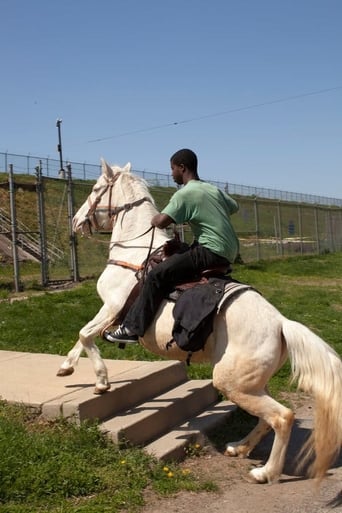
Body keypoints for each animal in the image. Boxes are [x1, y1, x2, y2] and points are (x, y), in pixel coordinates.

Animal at [57, 160, 342, 484]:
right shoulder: (108, 311)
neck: (136, 249)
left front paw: (102, 381)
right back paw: (239, 447)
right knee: (267, 417)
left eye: (95, 189)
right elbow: (83, 337)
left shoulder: (113, 307)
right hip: (251, 384)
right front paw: (66, 367)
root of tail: (281, 323)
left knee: (282, 417)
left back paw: (265, 471)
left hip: (231, 382)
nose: (76, 221)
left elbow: (86, 334)